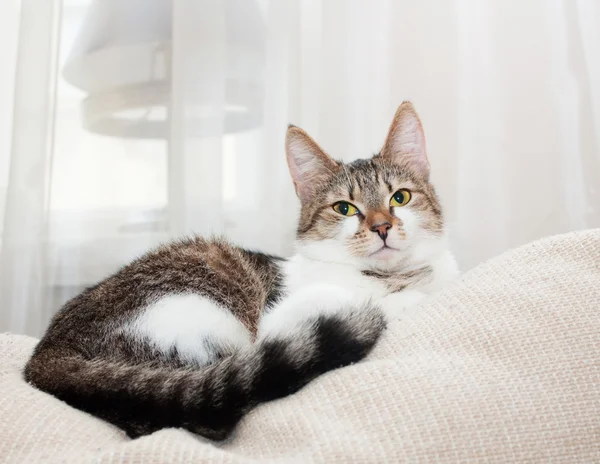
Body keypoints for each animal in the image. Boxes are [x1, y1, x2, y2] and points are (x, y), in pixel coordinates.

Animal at [22, 100, 454, 438]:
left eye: (400, 197)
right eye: (344, 208)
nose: (382, 227)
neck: (391, 276)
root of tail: (45, 353)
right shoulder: (284, 317)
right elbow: (369, 301)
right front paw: (398, 300)